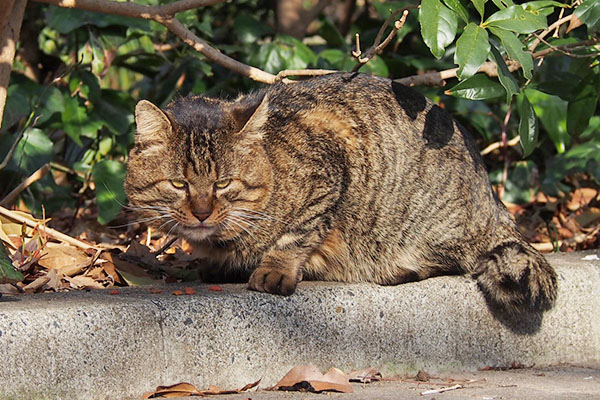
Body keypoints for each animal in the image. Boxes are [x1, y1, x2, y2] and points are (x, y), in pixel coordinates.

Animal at [125, 73, 556, 314]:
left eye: (223, 183)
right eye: (179, 184)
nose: (201, 212)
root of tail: (494, 202)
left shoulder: (330, 167)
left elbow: (298, 232)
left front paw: (274, 269)